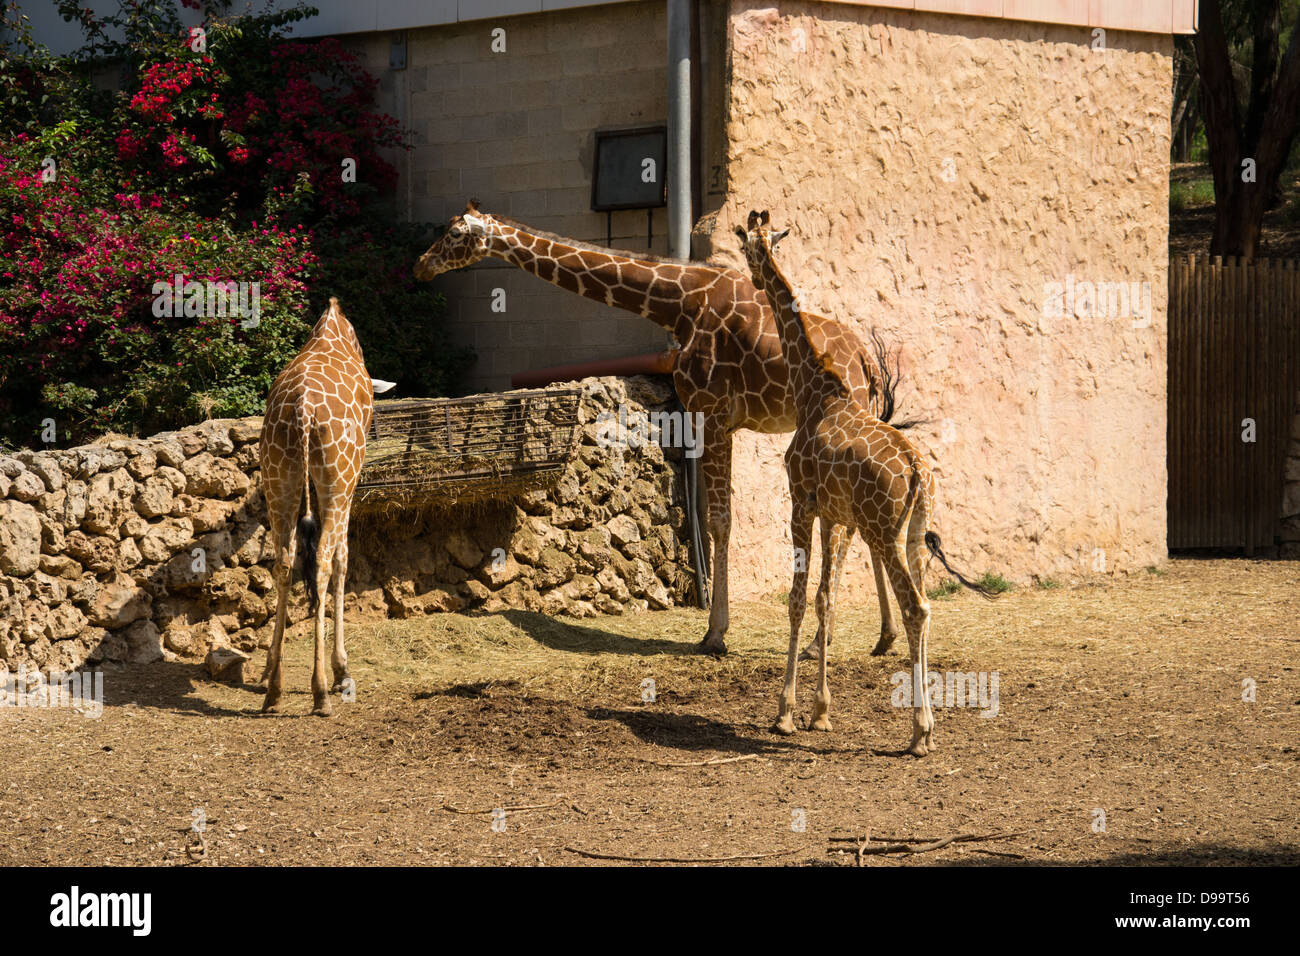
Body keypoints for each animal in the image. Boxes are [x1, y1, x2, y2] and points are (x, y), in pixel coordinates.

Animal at [258, 299, 379, 717]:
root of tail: (304, 411)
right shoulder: (350, 483)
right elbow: (344, 558)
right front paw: (343, 670)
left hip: (279, 477)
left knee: (283, 562)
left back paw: (274, 690)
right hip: (338, 478)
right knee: (326, 559)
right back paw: (323, 691)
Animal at [416, 201, 915, 658]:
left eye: (455, 234)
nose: (422, 266)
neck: (678, 304)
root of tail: (867, 363)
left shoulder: (712, 413)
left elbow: (718, 522)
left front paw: (715, 634)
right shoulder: (717, 419)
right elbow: (717, 520)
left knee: (849, 526)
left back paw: (821, 641)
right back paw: (882, 636)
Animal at [733, 213, 993, 759]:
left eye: (748, 246)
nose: (753, 277)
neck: (813, 388)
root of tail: (917, 471)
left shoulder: (801, 503)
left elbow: (796, 599)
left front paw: (785, 713)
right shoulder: (834, 515)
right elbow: (825, 601)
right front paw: (820, 712)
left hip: (883, 531)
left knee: (916, 606)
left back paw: (918, 733)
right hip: (913, 533)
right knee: (925, 605)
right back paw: (927, 728)